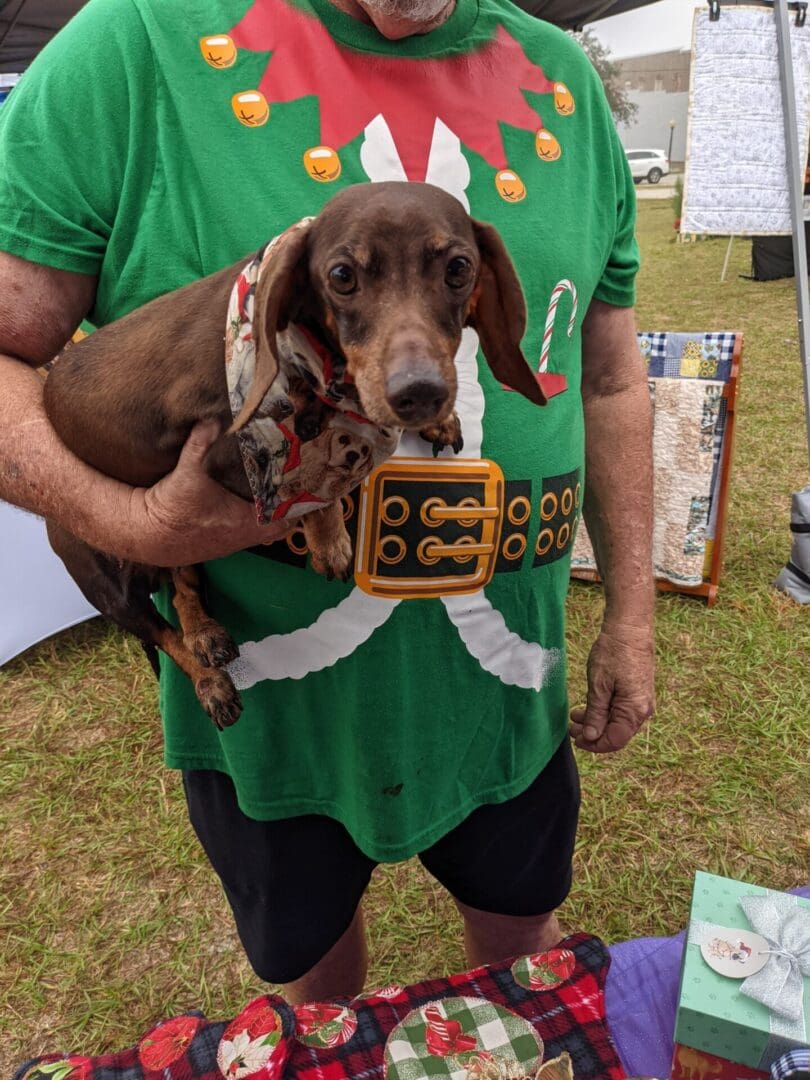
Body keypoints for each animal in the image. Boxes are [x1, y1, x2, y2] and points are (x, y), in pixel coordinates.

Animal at [47, 183, 548, 725]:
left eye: (459, 268)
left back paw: (203, 632)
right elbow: (320, 477)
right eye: (342, 275)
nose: (420, 394)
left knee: (182, 583)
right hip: (108, 585)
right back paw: (209, 681)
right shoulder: (228, 455)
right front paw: (329, 536)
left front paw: (435, 421)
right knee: (161, 632)